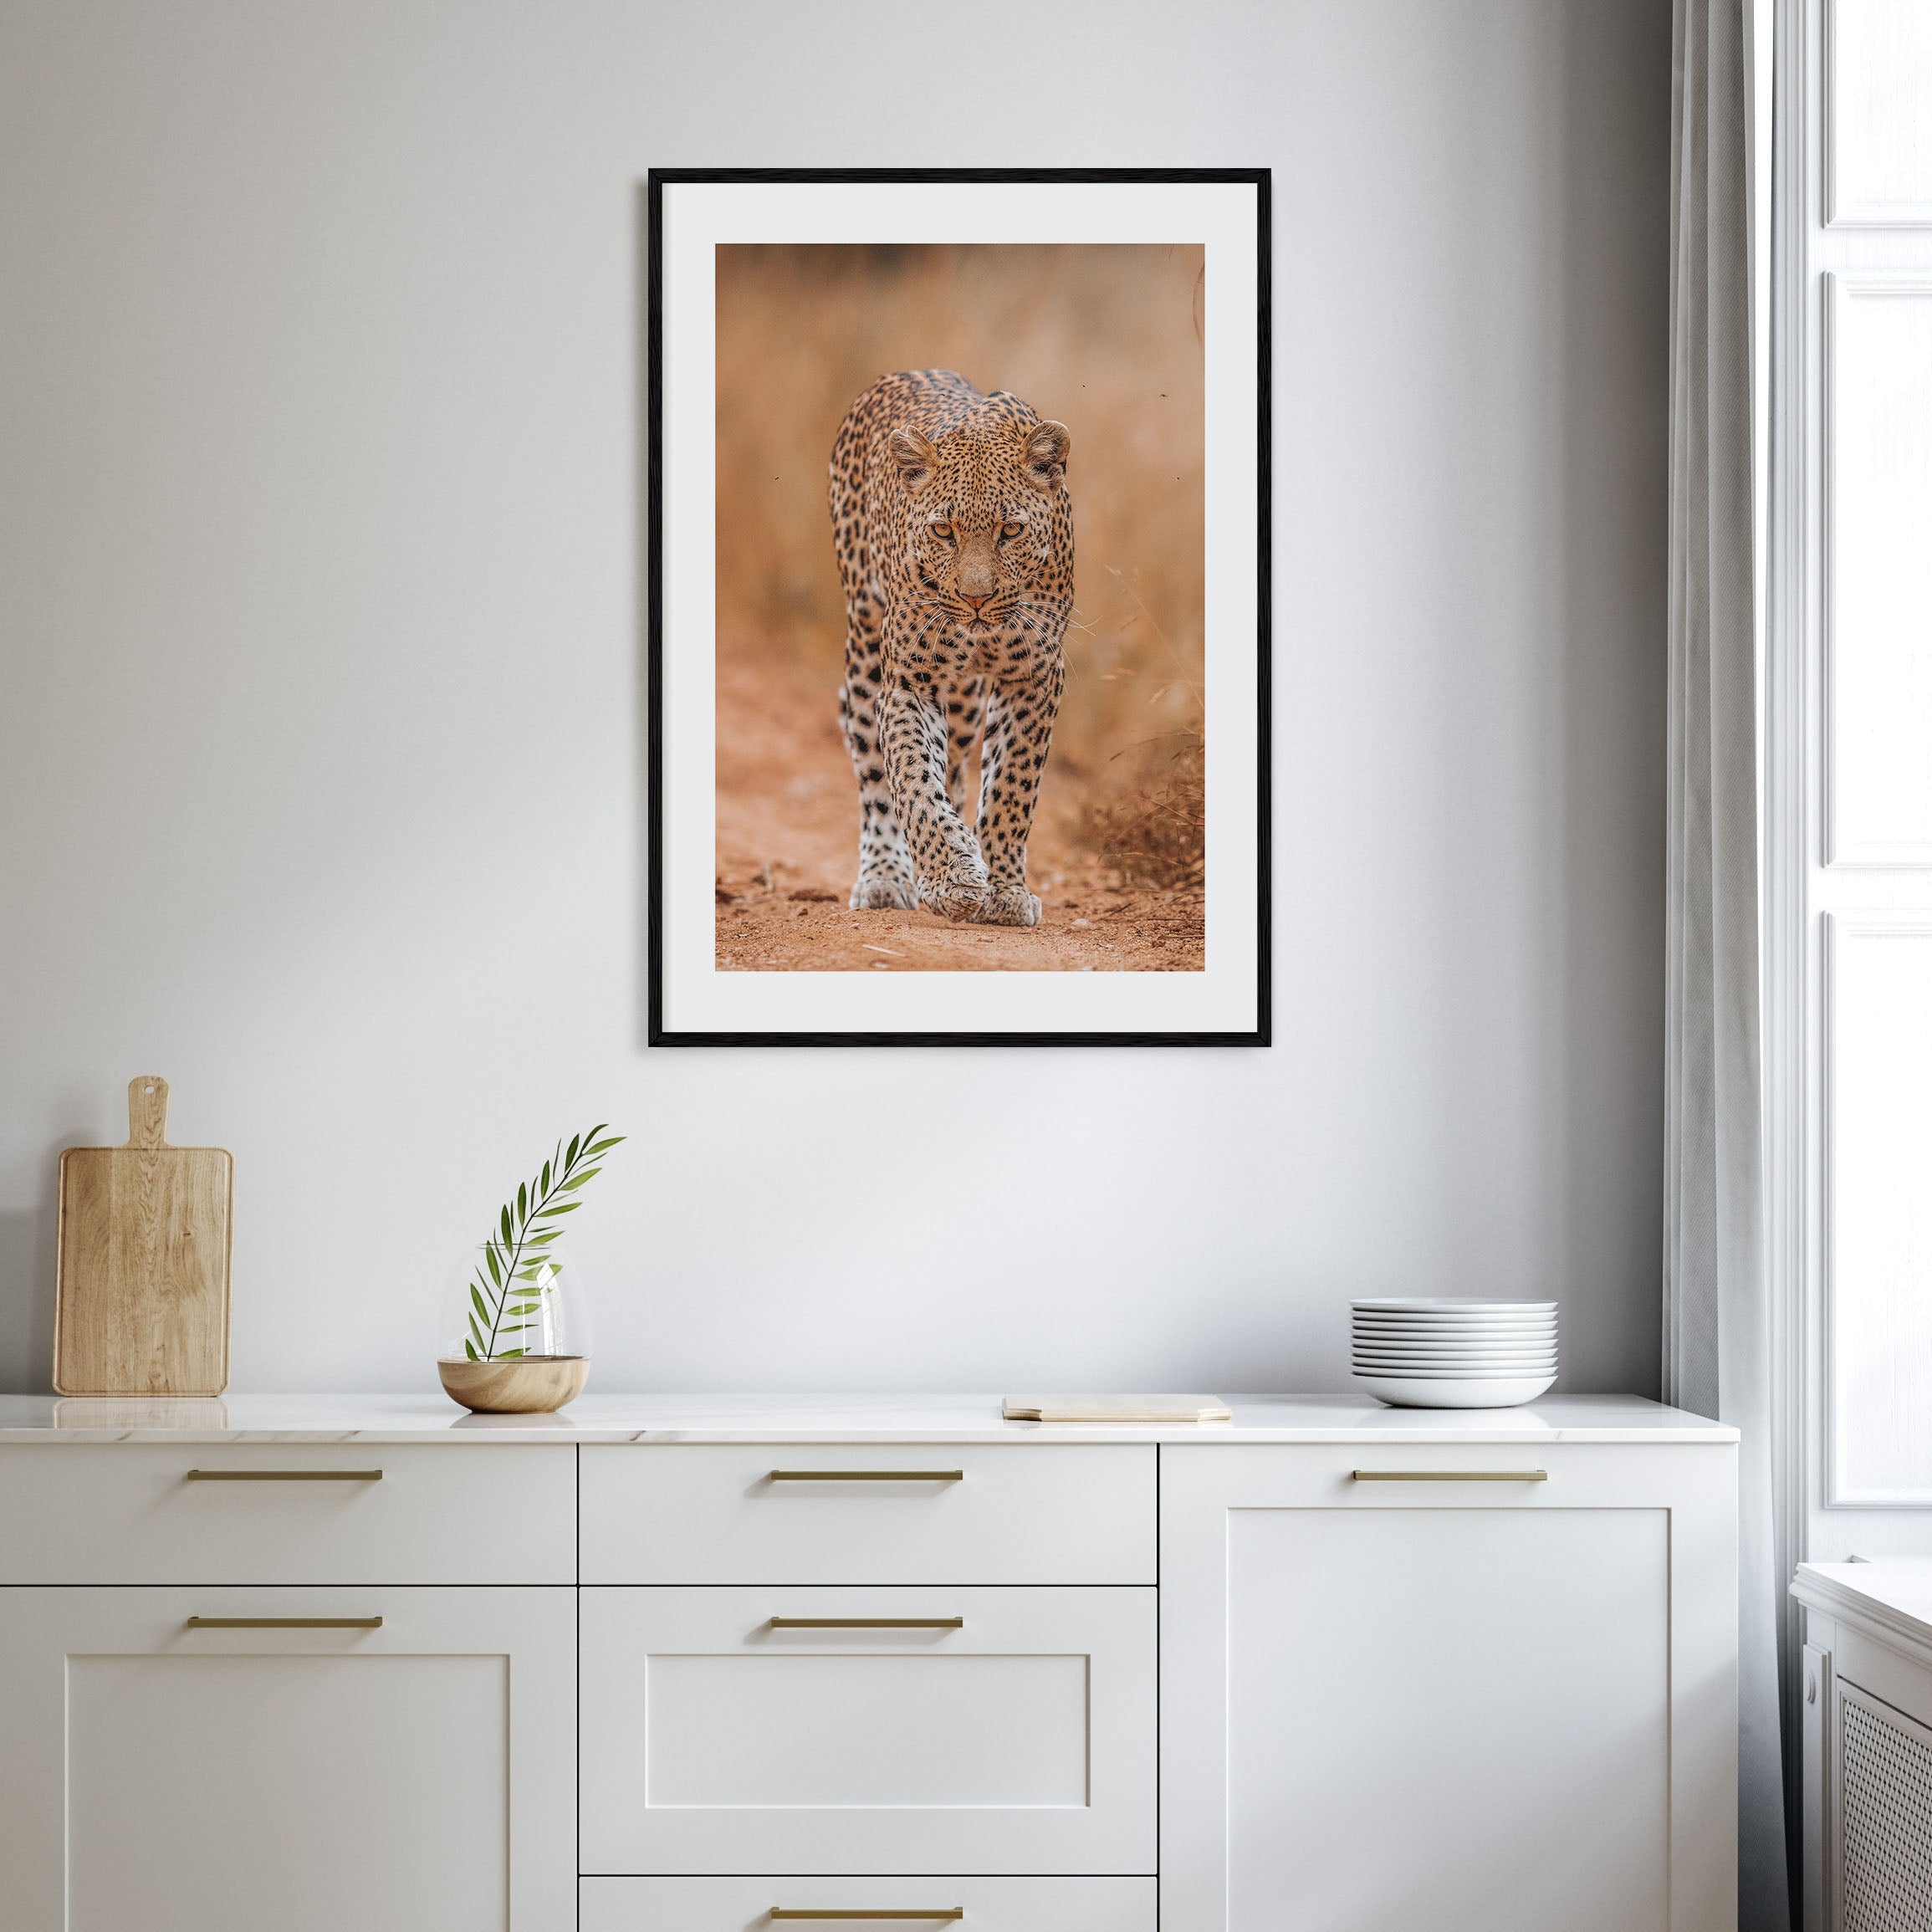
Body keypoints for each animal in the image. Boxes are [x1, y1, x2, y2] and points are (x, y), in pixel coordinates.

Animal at [829, 368, 1072, 926]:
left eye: (1011, 530)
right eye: (943, 530)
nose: (975, 599)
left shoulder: (1034, 675)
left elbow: (1011, 786)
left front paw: (1003, 890)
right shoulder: (909, 680)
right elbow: (914, 780)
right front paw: (951, 878)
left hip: (964, 701)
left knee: (959, 767)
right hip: (865, 651)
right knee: (874, 772)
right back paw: (886, 877)